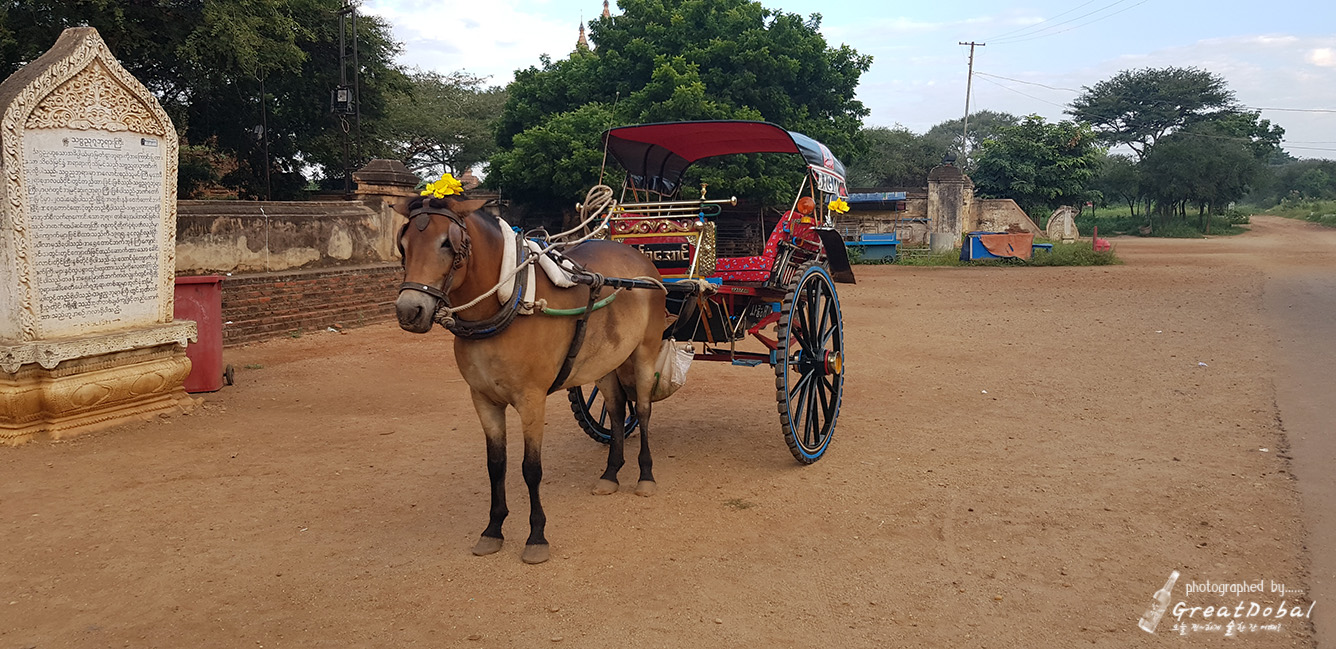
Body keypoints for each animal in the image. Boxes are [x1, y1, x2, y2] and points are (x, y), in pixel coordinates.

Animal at [393, 195, 667, 564]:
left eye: (448, 244)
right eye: (404, 245)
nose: (409, 310)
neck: (508, 303)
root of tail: (641, 260)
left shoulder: (532, 399)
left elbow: (530, 468)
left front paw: (536, 536)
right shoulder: (483, 399)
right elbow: (496, 465)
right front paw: (492, 530)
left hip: (644, 352)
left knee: (643, 410)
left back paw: (645, 475)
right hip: (605, 361)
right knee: (615, 407)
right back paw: (610, 474)